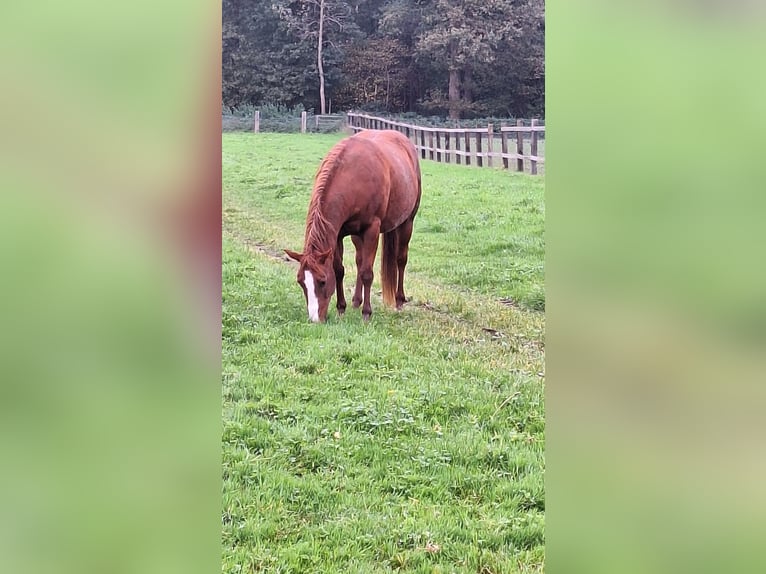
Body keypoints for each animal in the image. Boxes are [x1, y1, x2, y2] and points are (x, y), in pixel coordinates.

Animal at [284, 130, 424, 324]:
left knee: (401, 259)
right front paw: (341, 308)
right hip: (357, 235)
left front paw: (367, 313)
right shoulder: (337, 234)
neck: (352, 177)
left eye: (322, 281)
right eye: (300, 281)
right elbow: (339, 270)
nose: (314, 319)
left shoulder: (372, 230)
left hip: (407, 222)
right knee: (359, 260)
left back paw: (399, 301)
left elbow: (367, 272)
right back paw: (357, 301)